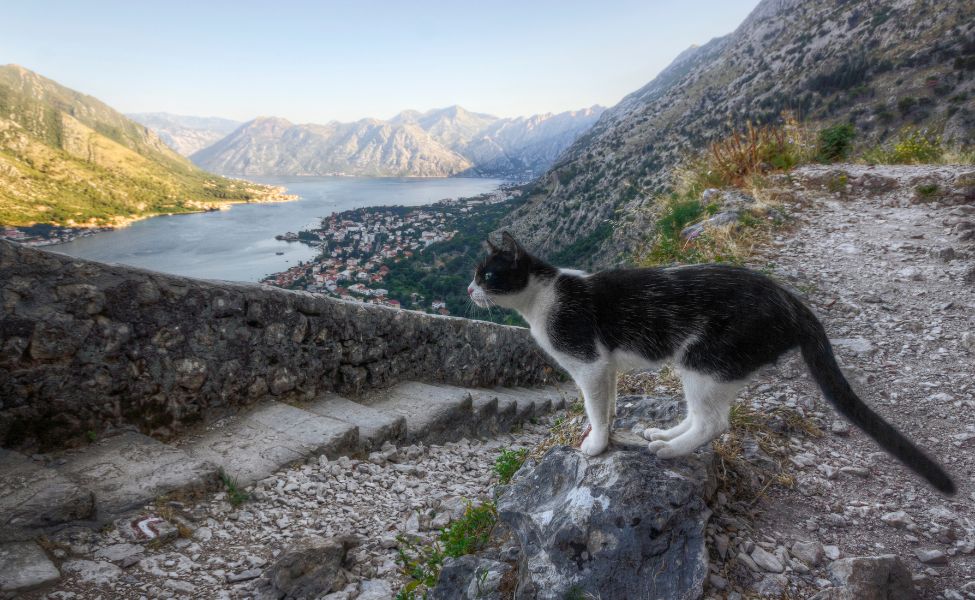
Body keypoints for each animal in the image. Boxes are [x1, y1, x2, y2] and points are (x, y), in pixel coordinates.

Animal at [468, 232, 956, 494]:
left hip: (704, 360)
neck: (540, 301)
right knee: (704, 416)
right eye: (474, 275)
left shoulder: (588, 364)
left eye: (488, 274)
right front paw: (608, 432)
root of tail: (791, 301)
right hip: (707, 368)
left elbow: (594, 408)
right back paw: (665, 435)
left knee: (716, 423)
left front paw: (595, 444)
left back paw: (670, 449)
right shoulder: (605, 369)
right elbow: (607, 405)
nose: (469, 290)